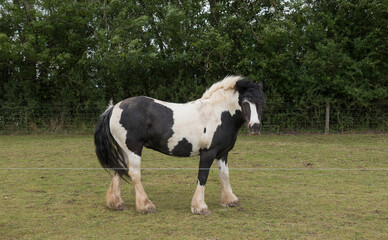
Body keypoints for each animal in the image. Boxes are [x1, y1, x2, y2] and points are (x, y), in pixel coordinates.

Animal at [94, 75, 266, 214]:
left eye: (261, 103)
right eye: (245, 102)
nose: (255, 127)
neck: (218, 114)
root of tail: (113, 108)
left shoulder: (222, 153)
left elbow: (224, 175)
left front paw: (230, 200)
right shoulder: (208, 153)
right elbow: (202, 177)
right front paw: (200, 207)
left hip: (123, 150)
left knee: (118, 169)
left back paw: (116, 204)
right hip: (133, 149)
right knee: (134, 174)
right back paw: (146, 206)